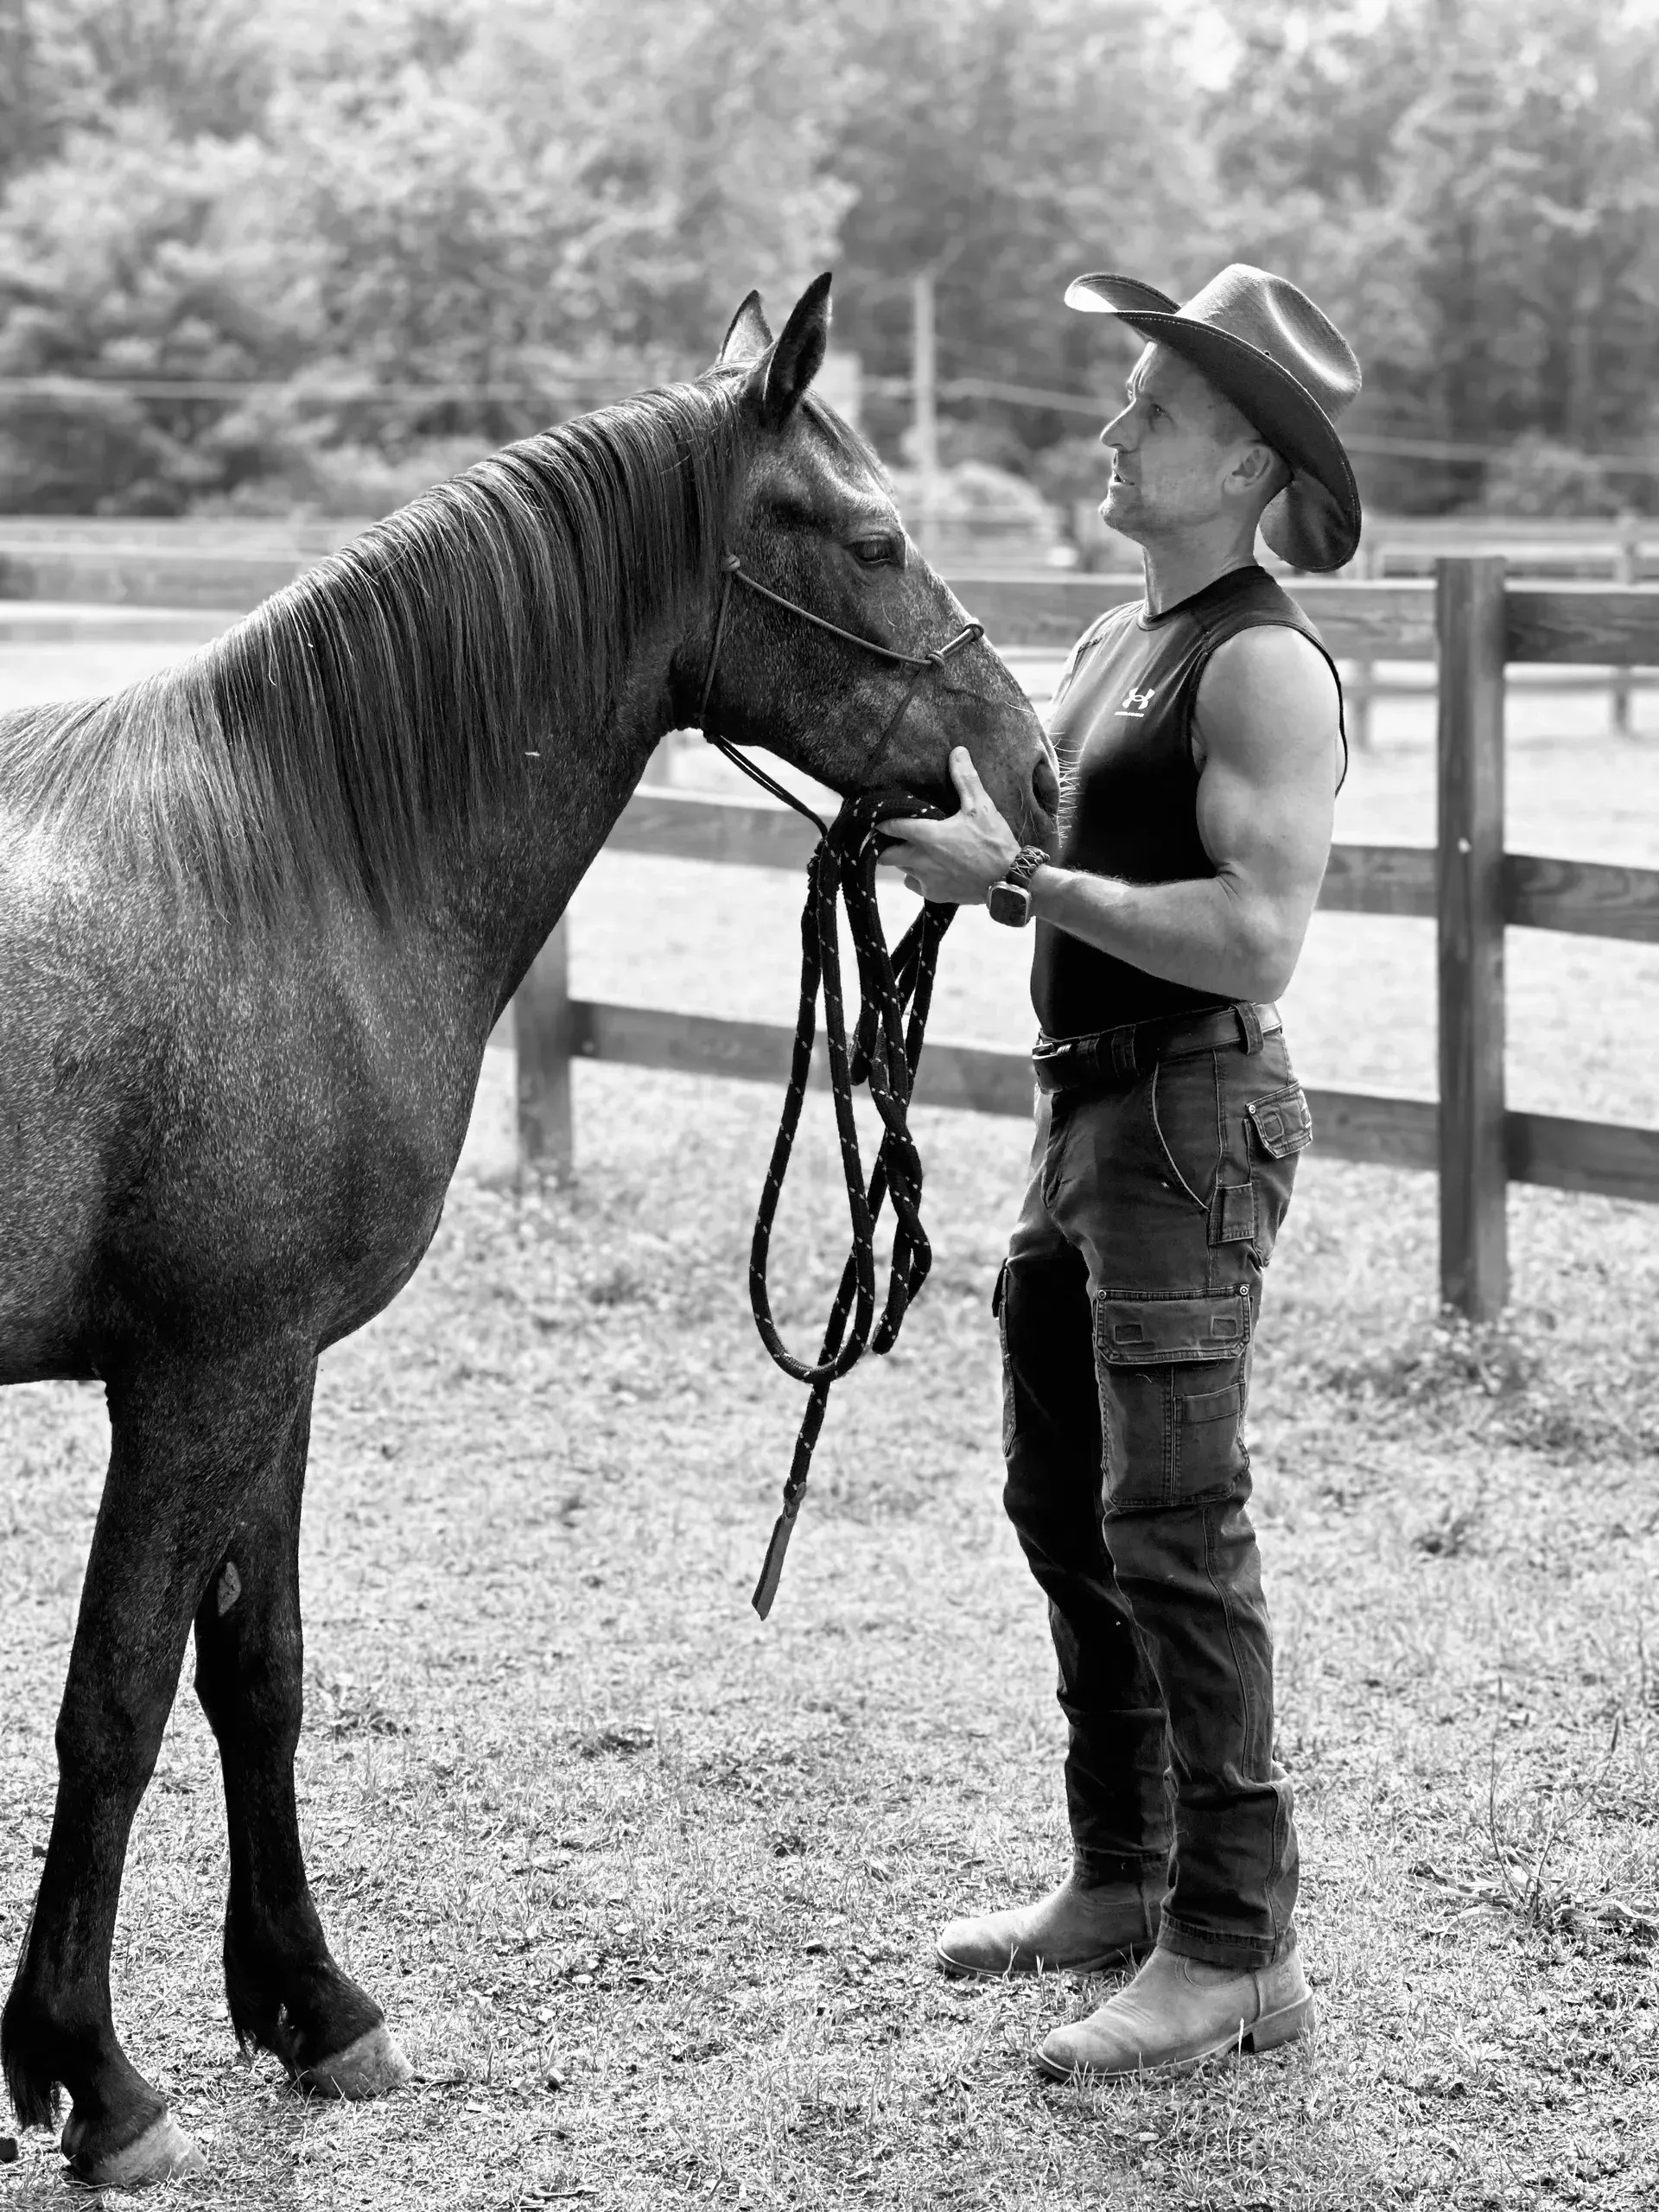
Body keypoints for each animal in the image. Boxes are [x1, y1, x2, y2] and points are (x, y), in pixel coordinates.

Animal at [0, 271, 1065, 2177]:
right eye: (874, 538)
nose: (1033, 772)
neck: (286, 869)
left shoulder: (274, 1374)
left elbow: (256, 1669)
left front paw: (312, 2006)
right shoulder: (197, 1378)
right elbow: (114, 1700)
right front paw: (96, 2079)